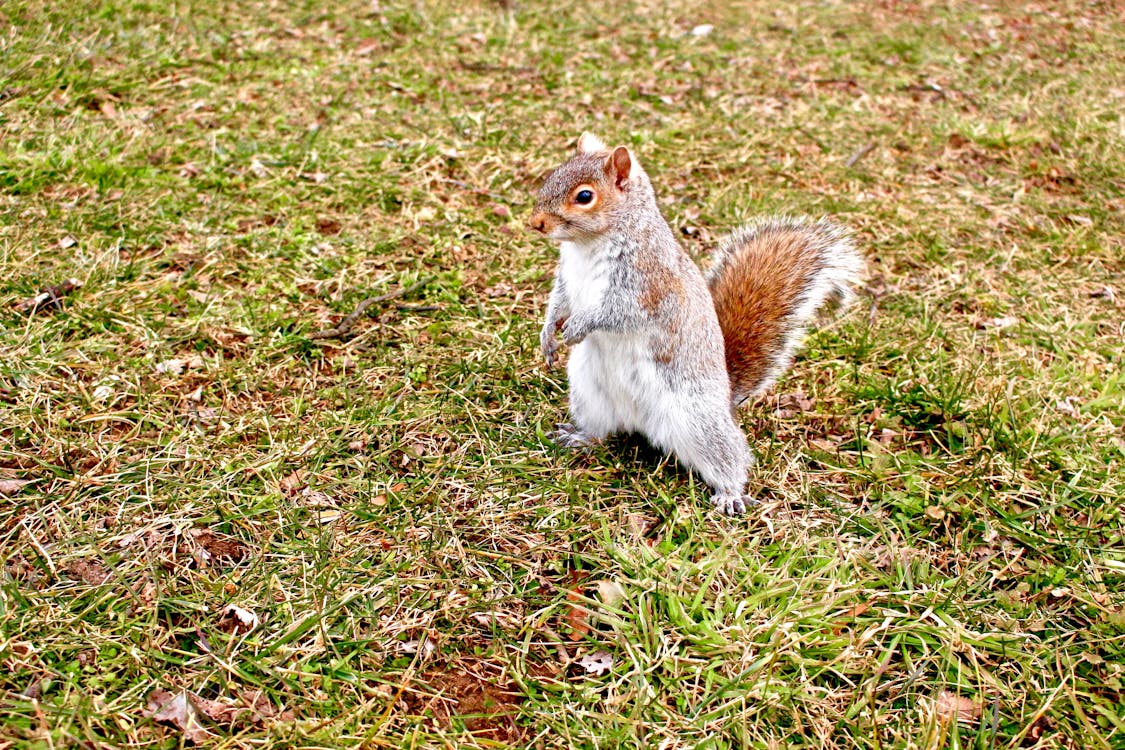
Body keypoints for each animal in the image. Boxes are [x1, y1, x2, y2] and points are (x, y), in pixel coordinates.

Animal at [526, 132, 859, 512]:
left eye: (584, 196)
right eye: (554, 174)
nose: (536, 222)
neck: (588, 244)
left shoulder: (648, 285)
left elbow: (616, 312)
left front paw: (579, 326)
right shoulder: (567, 278)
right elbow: (559, 301)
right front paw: (548, 334)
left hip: (699, 420)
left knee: (729, 457)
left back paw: (730, 494)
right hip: (589, 394)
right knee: (600, 429)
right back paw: (579, 437)